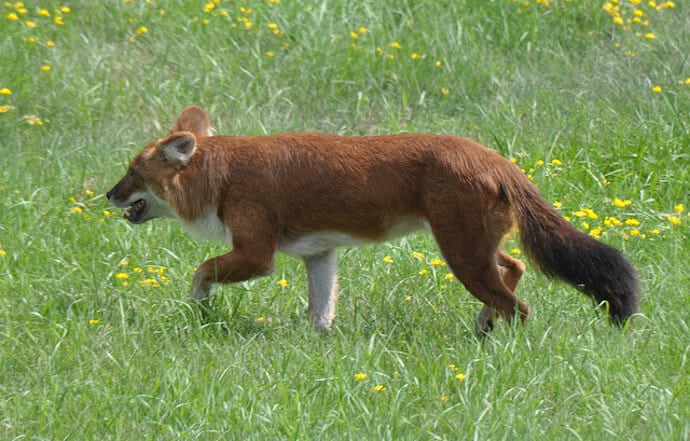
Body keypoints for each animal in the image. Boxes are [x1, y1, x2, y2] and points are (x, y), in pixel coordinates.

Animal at [107, 106, 640, 332]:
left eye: (132, 172)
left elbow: (199, 272)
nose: (107, 195)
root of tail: (493, 157)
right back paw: (483, 323)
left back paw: (496, 341)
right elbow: (320, 311)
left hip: (461, 254)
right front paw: (318, 346)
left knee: (519, 306)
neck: (224, 173)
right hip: (477, 248)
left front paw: (198, 312)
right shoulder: (320, 254)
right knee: (516, 270)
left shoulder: (256, 254)